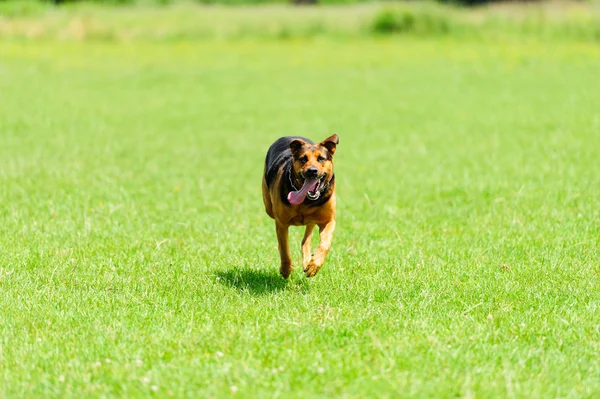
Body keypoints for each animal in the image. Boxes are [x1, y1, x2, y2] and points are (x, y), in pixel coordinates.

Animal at [262, 134, 340, 278]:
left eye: (321, 158)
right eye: (303, 159)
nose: (312, 171)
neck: (306, 201)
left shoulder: (329, 220)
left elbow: (325, 244)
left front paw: (314, 265)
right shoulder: (281, 223)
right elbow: (284, 249)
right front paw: (286, 270)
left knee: (306, 237)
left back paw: (308, 261)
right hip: (268, 208)